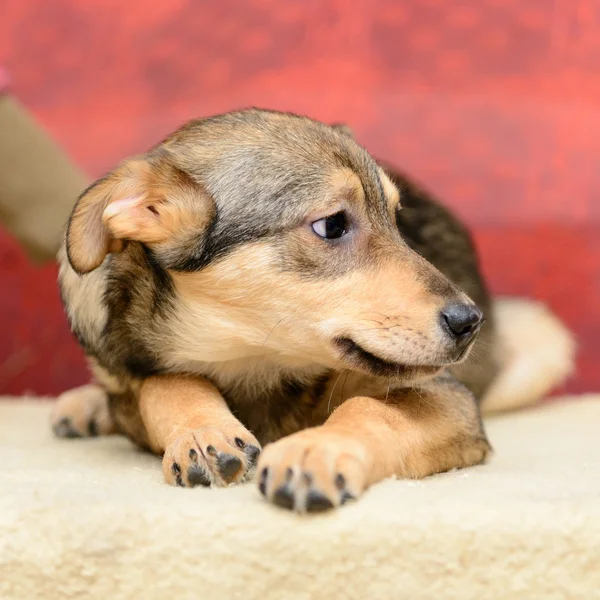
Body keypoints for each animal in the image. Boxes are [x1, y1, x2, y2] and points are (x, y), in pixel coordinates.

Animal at [50, 109, 572, 510]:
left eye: (396, 220)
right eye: (332, 225)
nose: (469, 323)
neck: (256, 364)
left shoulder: (450, 399)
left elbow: (370, 408)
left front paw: (315, 452)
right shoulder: (131, 371)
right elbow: (164, 383)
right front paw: (203, 431)